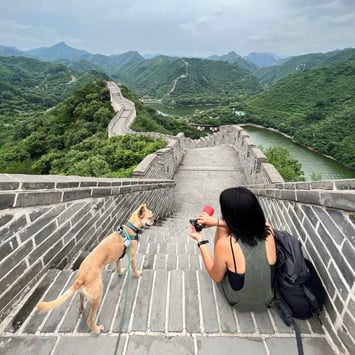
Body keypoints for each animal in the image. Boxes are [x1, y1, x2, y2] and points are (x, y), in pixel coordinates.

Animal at [36, 204, 154, 336]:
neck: (131, 228)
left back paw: (81, 309)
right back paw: (96, 330)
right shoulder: (132, 256)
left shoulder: (118, 257)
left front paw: (120, 272)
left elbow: (118, 265)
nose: (154, 221)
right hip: (98, 296)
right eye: (150, 217)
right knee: (90, 319)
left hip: (84, 293)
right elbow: (133, 267)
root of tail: (81, 278)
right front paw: (137, 274)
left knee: (81, 299)